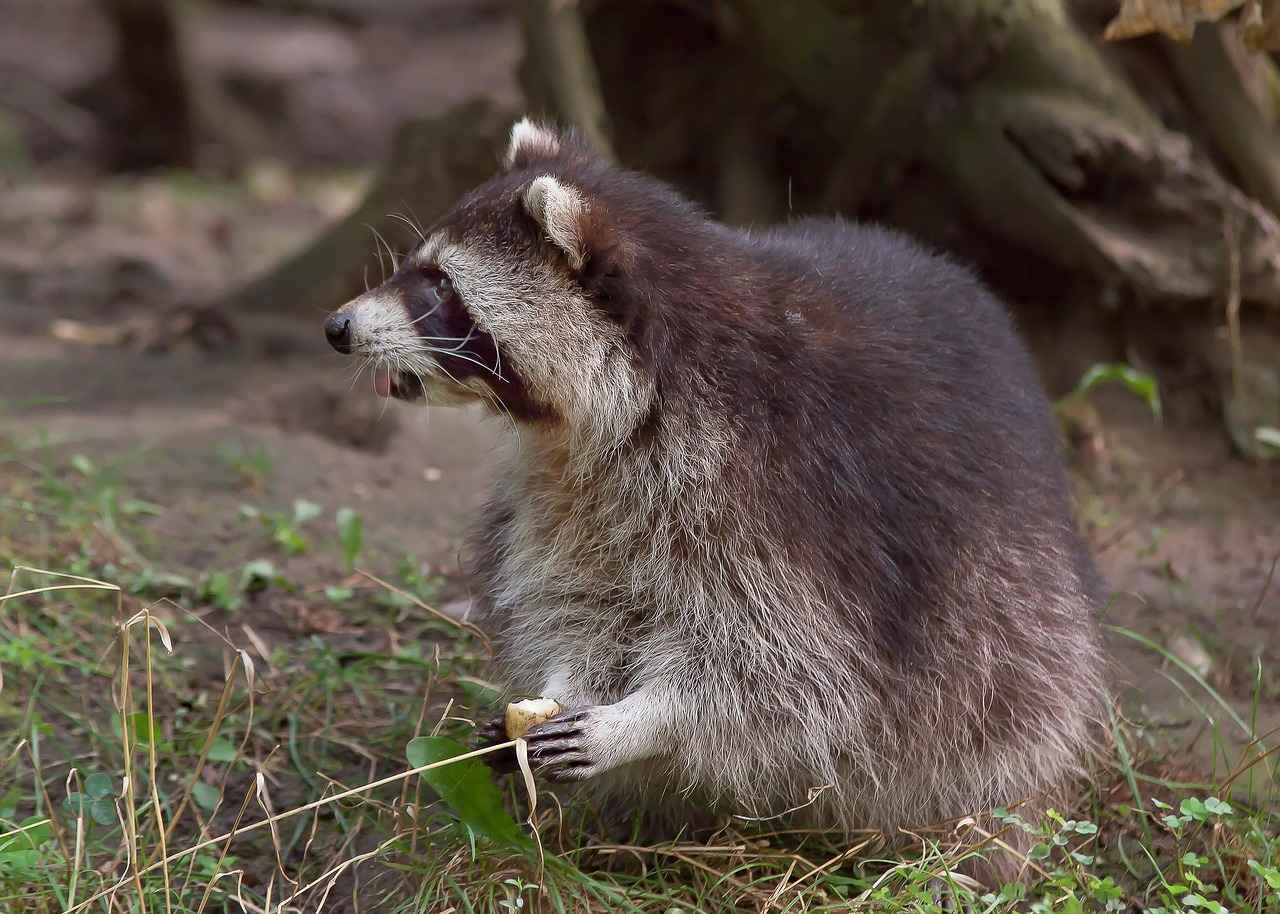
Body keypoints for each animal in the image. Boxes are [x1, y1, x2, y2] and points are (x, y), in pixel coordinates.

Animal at [323, 118, 1107, 883]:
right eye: (416, 268)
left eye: (438, 287)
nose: (337, 328)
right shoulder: (567, 483)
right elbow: (576, 598)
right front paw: (565, 684)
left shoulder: (779, 496)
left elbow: (793, 671)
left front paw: (645, 721)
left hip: (1015, 627)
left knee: (998, 715)